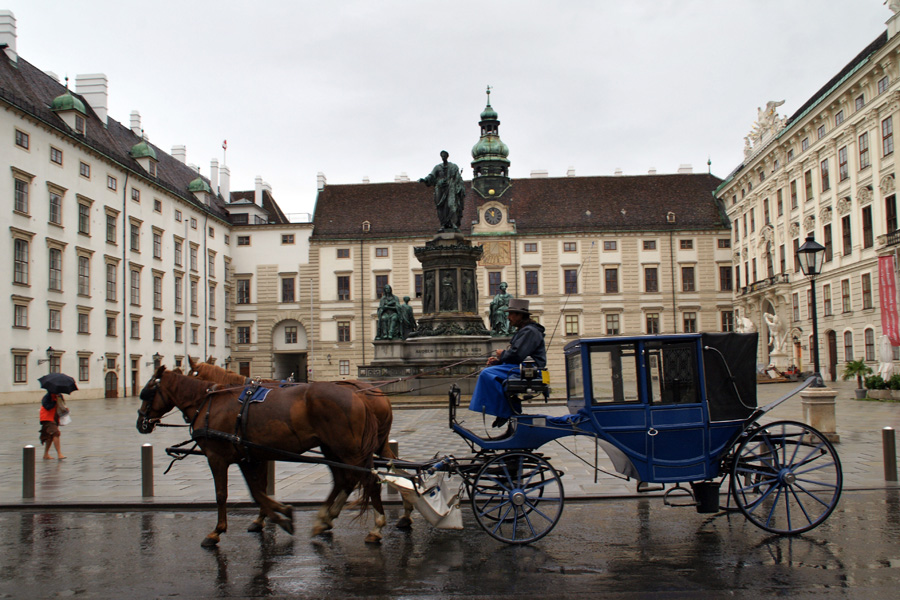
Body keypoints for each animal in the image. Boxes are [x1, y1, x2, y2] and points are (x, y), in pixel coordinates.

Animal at [137, 368, 386, 548]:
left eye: (147, 392)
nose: (141, 423)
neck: (209, 403)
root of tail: (358, 396)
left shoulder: (218, 457)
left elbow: (223, 494)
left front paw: (217, 531)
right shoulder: (248, 456)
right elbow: (258, 492)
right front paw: (279, 515)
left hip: (348, 450)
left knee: (370, 480)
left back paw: (375, 527)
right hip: (332, 449)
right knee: (345, 480)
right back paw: (324, 519)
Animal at [186, 360, 418, 536]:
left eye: (191, 374)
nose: (193, 414)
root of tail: (378, 394)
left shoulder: (250, 453)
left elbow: (257, 488)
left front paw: (268, 517)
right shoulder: (256, 453)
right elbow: (259, 488)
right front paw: (267, 517)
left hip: (350, 447)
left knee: (364, 477)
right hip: (358, 446)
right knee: (381, 471)